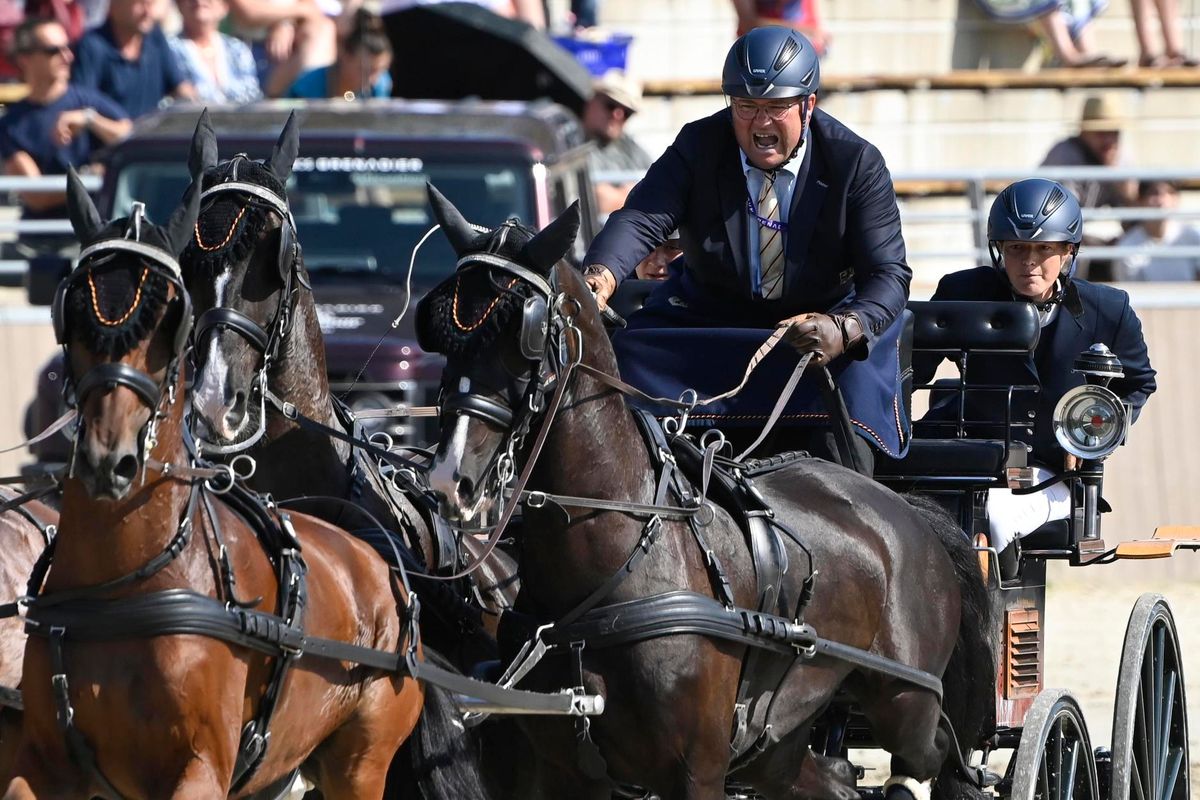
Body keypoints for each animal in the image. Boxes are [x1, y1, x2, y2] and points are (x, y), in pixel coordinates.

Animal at [2, 165, 444, 796]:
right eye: (74, 306)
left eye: (171, 314)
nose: (110, 457)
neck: (127, 585)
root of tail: (382, 569)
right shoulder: (41, 760)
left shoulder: (202, 767)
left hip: (360, 764)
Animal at [417, 185, 998, 800]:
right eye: (442, 338)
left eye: (521, 336)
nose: (447, 479)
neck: (617, 563)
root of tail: (903, 507)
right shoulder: (560, 772)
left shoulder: (695, 770)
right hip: (778, 740)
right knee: (833, 777)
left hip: (905, 699)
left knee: (939, 754)